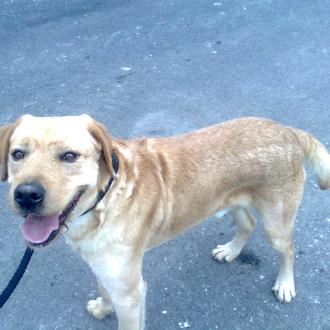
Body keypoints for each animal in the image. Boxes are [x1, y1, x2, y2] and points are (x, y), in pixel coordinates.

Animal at [0, 114, 328, 328]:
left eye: (69, 156)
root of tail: (289, 131)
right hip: (229, 199)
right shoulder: (106, 270)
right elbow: (104, 289)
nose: (26, 195)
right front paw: (104, 308)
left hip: (277, 222)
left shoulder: (131, 293)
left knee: (288, 248)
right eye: (18, 154)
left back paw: (285, 283)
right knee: (247, 223)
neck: (104, 200)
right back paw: (231, 251)